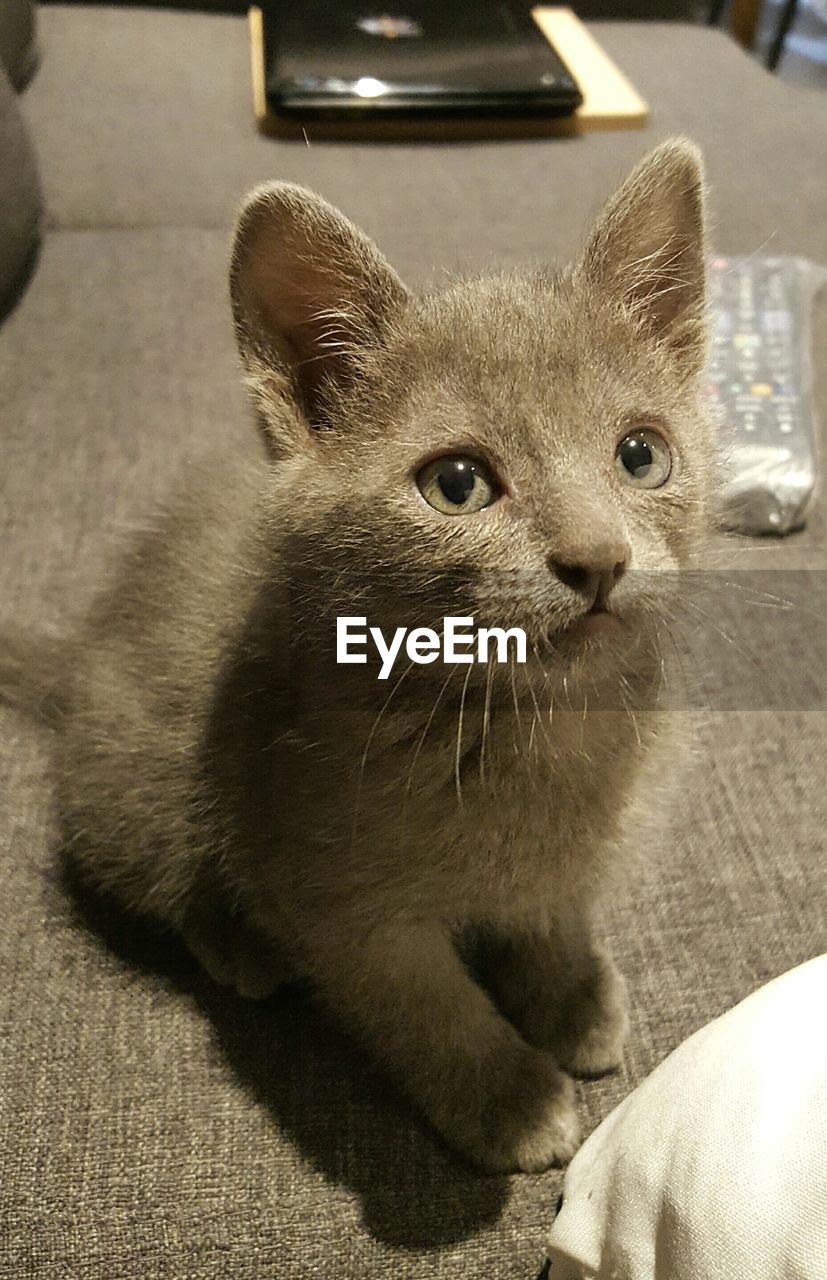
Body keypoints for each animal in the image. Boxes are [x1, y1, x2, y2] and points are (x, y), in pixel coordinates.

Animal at [0, 137, 716, 1172]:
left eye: (640, 455)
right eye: (455, 484)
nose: (598, 558)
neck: (526, 728)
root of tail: (81, 649)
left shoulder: (567, 854)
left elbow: (552, 906)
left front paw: (571, 993)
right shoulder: (336, 902)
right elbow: (421, 1006)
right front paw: (507, 1098)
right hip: (138, 788)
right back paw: (240, 944)